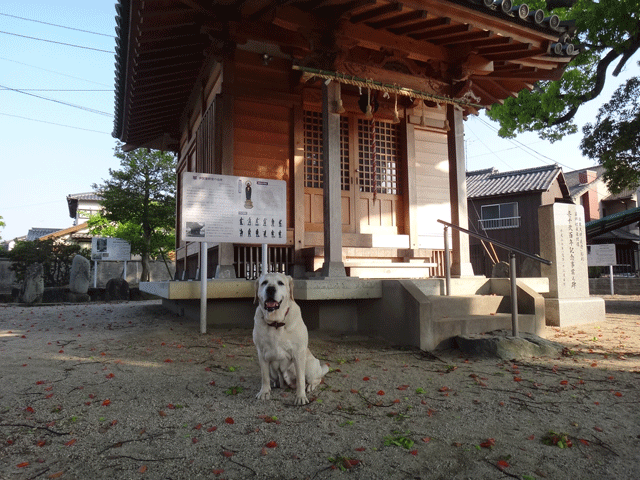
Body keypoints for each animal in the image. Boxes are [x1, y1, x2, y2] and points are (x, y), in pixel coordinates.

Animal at [251, 274, 328, 404]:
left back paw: (310, 385)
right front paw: (264, 392)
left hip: (310, 365)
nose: (270, 289)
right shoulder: (261, 353)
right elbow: (264, 376)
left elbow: (300, 379)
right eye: (264, 283)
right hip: (273, 371)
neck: (276, 323)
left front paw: (301, 397)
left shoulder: (298, 353)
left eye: (280, 283)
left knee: (316, 378)